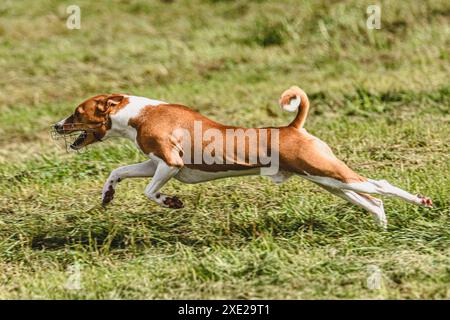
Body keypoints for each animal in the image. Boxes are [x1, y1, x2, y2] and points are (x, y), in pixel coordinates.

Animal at [52, 86, 432, 229]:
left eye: (77, 112)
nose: (56, 126)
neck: (139, 114)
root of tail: (292, 127)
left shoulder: (171, 165)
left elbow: (150, 193)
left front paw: (171, 202)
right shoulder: (153, 163)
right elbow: (118, 171)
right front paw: (107, 195)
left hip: (330, 174)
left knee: (381, 186)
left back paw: (422, 201)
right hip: (329, 182)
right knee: (373, 201)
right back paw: (380, 228)